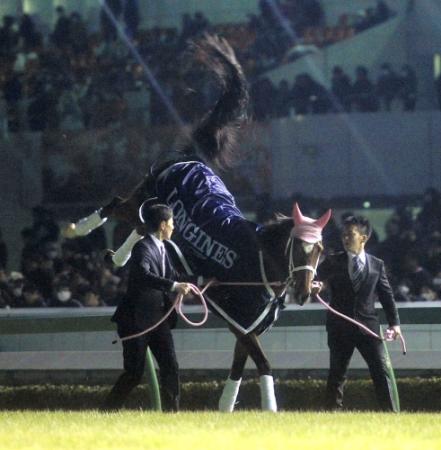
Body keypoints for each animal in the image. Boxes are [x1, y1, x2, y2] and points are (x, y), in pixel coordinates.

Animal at [62, 34, 330, 412]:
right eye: (299, 249)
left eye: (320, 250)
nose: (306, 292)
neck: (257, 264)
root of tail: (192, 158)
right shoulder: (240, 319)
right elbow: (263, 363)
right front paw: (269, 409)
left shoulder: (248, 325)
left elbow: (238, 366)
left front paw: (224, 408)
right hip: (145, 194)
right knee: (118, 206)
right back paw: (81, 229)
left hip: (153, 206)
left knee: (142, 225)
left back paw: (120, 256)